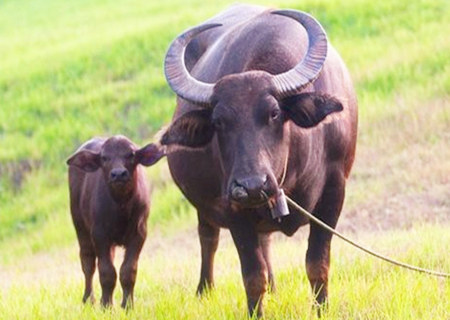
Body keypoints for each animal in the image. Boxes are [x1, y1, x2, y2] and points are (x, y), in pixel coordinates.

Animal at [66, 134, 164, 308]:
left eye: (131, 155)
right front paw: (106, 305)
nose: (118, 174)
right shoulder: (99, 235)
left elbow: (128, 270)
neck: (120, 207)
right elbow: (106, 272)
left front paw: (128, 305)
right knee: (88, 262)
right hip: (80, 227)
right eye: (104, 158)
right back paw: (88, 299)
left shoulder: (139, 234)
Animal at [160, 3, 356, 318]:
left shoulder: (334, 192)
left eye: (274, 113)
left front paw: (322, 309)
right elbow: (253, 276)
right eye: (218, 122)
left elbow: (317, 263)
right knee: (208, 238)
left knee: (265, 242)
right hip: (206, 207)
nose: (251, 186)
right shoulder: (233, 207)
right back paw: (204, 290)